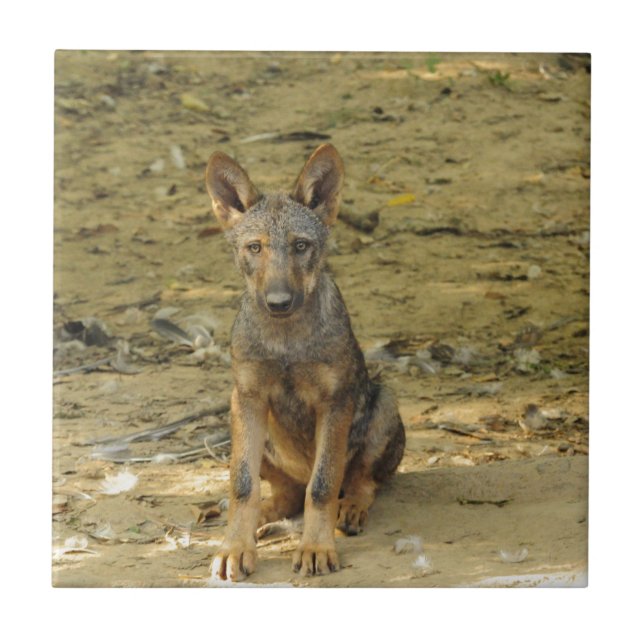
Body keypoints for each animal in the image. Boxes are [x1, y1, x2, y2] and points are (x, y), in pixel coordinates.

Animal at [205, 144, 405, 581]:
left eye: (300, 246)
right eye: (255, 248)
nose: (279, 302)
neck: (286, 343)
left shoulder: (335, 403)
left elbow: (323, 485)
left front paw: (316, 547)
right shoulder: (248, 396)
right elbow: (241, 485)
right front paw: (234, 548)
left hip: (383, 402)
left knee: (358, 482)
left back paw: (350, 509)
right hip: (239, 421)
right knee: (286, 493)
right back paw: (263, 518)